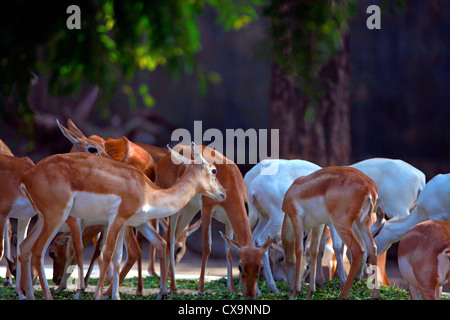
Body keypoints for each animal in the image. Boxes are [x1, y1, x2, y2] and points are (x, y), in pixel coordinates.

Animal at [18, 142, 227, 300]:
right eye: (214, 170)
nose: (223, 193)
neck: (148, 191)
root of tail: (27, 177)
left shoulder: (136, 223)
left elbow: (127, 254)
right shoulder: (117, 219)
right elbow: (107, 254)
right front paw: (98, 296)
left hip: (42, 218)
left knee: (24, 247)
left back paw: (27, 295)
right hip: (56, 217)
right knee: (38, 250)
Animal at [284, 168, 378, 300]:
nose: (290, 287)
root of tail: (369, 186)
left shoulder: (296, 219)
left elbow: (298, 250)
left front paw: (294, 293)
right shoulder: (318, 224)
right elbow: (314, 251)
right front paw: (309, 293)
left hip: (341, 224)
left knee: (358, 250)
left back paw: (342, 295)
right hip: (363, 223)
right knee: (372, 248)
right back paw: (374, 296)